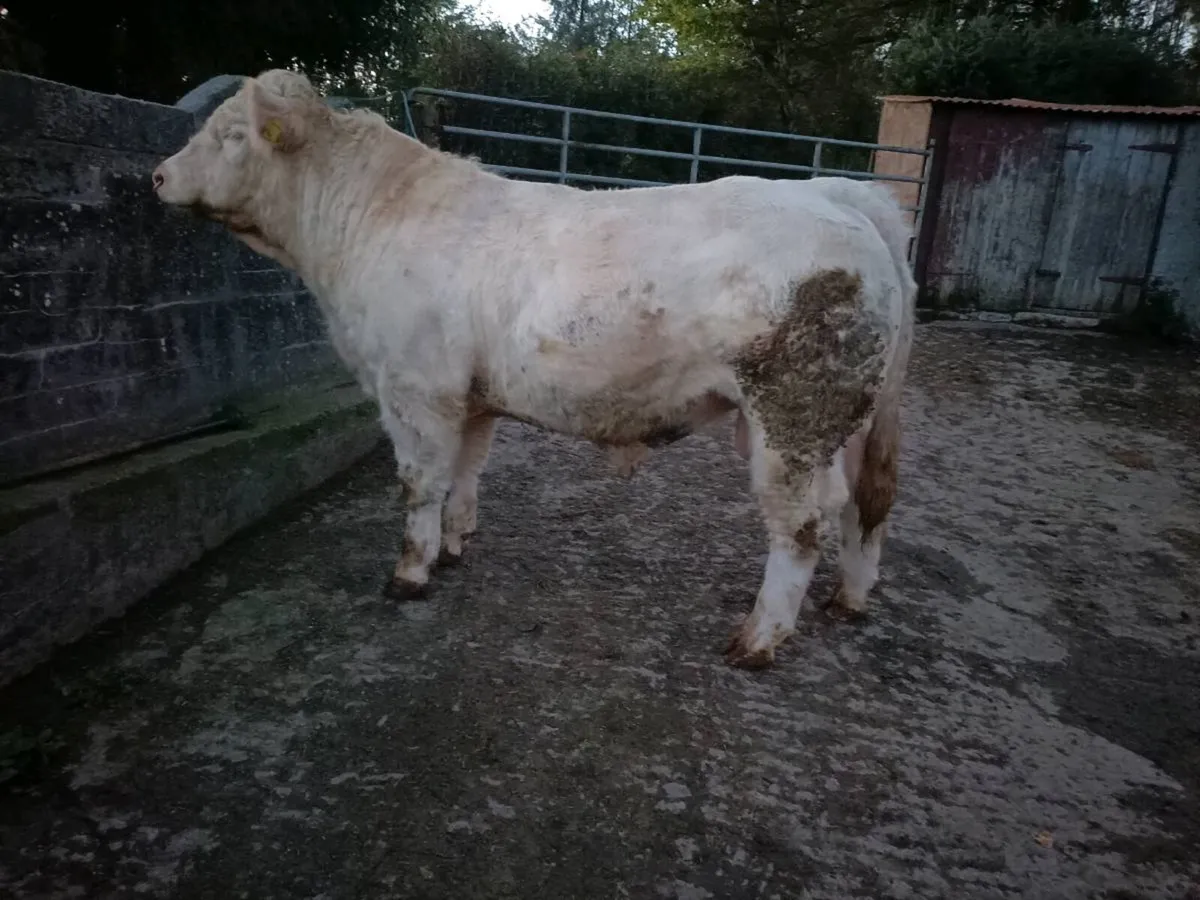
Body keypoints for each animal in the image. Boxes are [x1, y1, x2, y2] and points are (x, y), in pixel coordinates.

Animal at [152, 69, 916, 669]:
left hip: (792, 417)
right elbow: (464, 473)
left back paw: (759, 638)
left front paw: (410, 573)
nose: (158, 174)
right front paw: (454, 545)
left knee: (803, 523)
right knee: (864, 505)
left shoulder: (413, 389)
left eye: (232, 135)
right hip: (850, 418)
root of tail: (842, 195)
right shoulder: (469, 397)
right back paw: (849, 598)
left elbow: (418, 483)